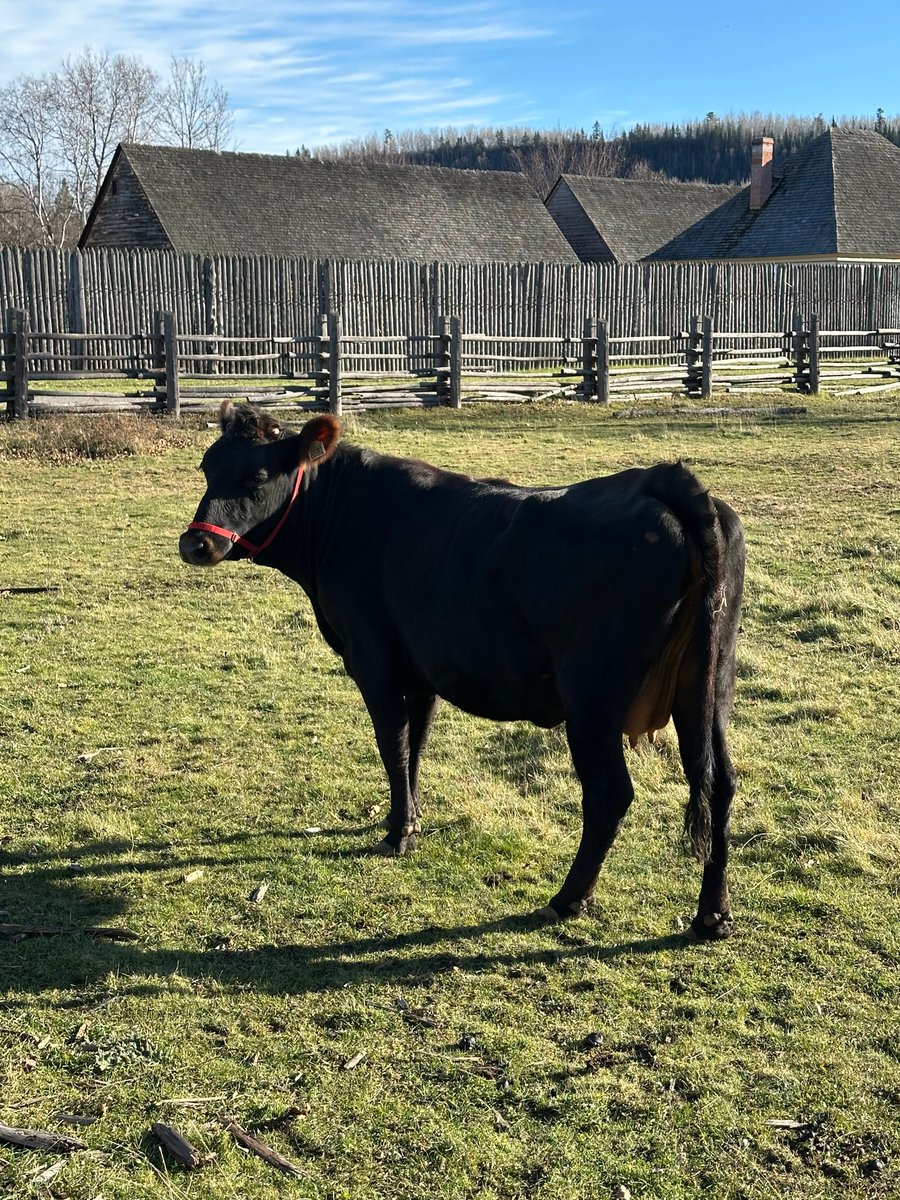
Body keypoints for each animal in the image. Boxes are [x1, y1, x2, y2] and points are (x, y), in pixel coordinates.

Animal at [179, 402, 745, 938]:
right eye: (207, 466)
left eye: (256, 476)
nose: (195, 544)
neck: (345, 517)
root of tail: (660, 481)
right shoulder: (424, 670)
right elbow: (416, 747)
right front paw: (408, 819)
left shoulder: (374, 661)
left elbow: (393, 746)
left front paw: (397, 834)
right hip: (708, 683)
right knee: (720, 782)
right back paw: (711, 916)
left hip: (592, 696)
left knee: (609, 793)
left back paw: (568, 899)